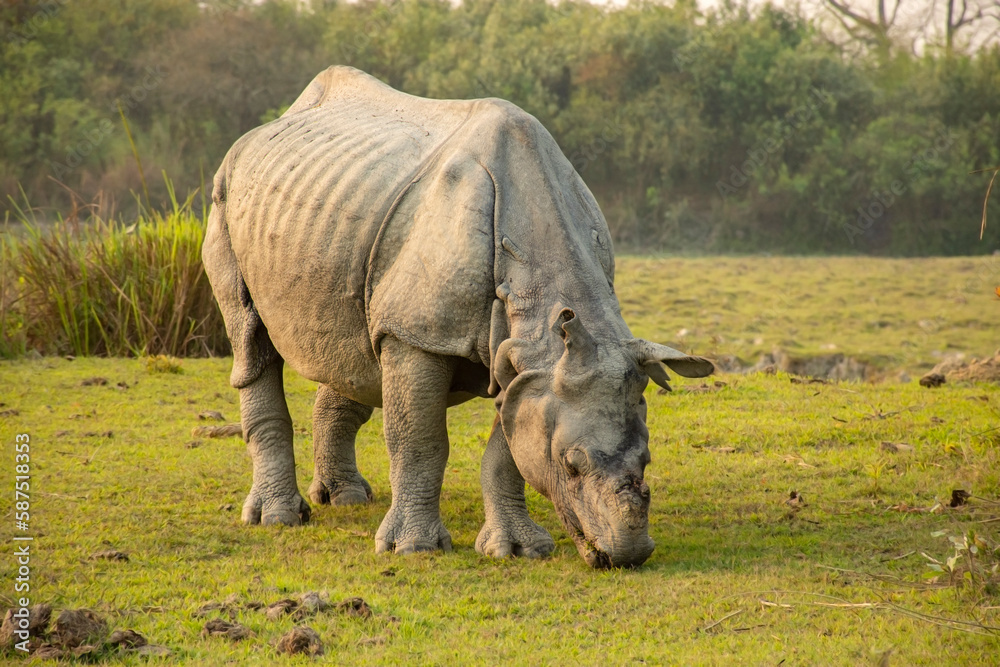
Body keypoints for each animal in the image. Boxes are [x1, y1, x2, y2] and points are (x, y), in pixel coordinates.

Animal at [202, 66, 713, 568]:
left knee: (356, 349)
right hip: (224, 194)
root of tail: (269, 126)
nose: (627, 555)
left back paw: (346, 499)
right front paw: (413, 548)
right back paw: (277, 518)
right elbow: (419, 439)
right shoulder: (418, 334)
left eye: (648, 460)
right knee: (251, 338)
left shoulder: (529, 362)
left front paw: (518, 550)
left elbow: (507, 449)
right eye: (571, 465)